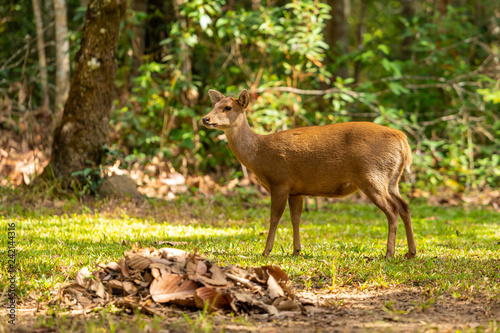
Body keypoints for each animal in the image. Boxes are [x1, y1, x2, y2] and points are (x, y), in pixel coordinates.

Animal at [201, 89, 416, 260]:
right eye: (214, 105)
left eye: (228, 107)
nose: (206, 118)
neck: (259, 154)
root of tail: (403, 140)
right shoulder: (296, 189)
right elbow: (296, 218)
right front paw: (296, 251)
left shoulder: (280, 181)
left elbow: (274, 217)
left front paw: (266, 251)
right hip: (391, 180)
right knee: (404, 206)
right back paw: (410, 252)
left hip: (372, 175)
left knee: (392, 210)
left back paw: (389, 254)